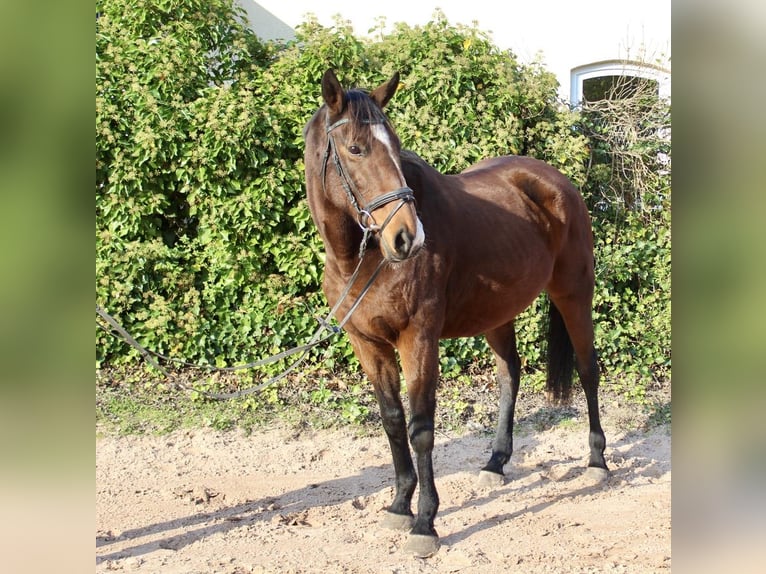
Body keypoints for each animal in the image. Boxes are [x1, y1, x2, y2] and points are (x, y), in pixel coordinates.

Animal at [304, 67, 608, 560]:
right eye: (355, 148)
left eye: (395, 143)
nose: (408, 237)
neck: (363, 261)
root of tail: (555, 179)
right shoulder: (368, 344)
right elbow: (393, 422)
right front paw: (398, 504)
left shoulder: (418, 338)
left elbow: (422, 428)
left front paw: (424, 522)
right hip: (497, 313)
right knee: (510, 374)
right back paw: (496, 462)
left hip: (574, 295)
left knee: (587, 370)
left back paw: (597, 461)